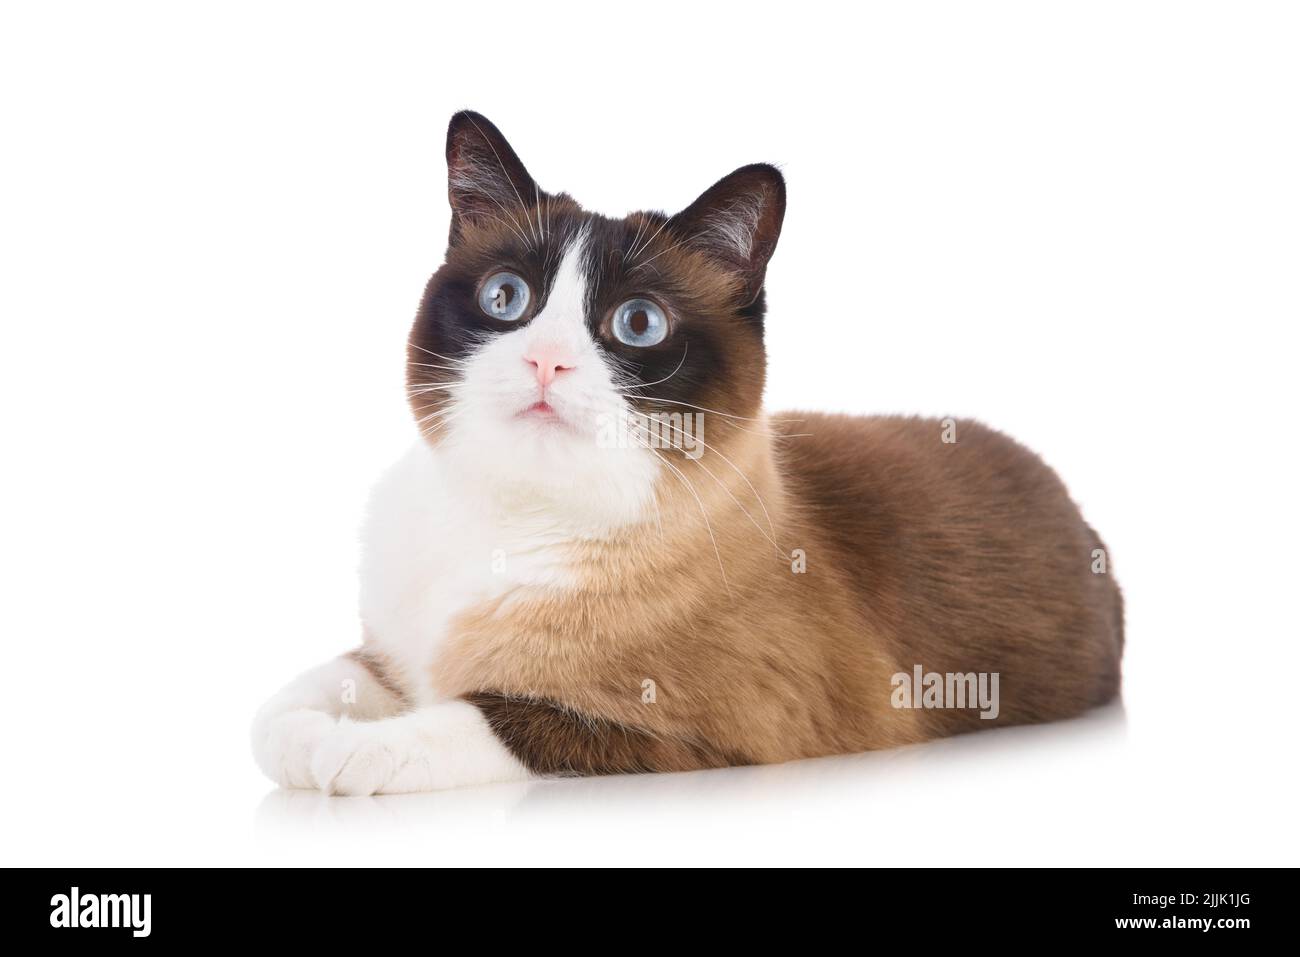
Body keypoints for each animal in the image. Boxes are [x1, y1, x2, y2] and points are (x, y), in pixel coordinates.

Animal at [250, 108, 1118, 795]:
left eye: (638, 323)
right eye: (507, 298)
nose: (547, 361)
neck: (509, 520)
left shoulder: (670, 722)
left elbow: (478, 716)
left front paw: (347, 754)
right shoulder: (392, 650)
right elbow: (294, 701)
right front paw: (302, 739)